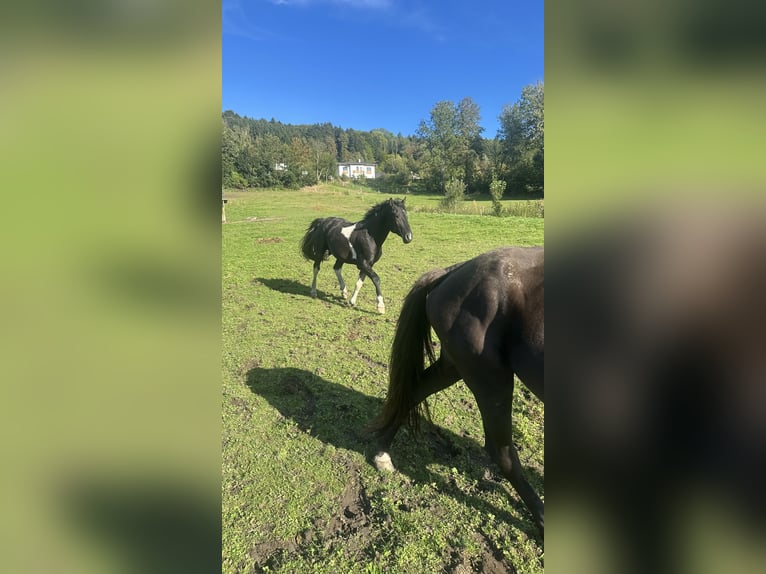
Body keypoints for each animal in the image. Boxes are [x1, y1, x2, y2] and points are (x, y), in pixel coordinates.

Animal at [368, 246, 544, 533]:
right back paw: (541, 518)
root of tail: (452, 272)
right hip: (490, 379)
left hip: (454, 366)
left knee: (413, 392)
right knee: (502, 453)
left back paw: (382, 451)